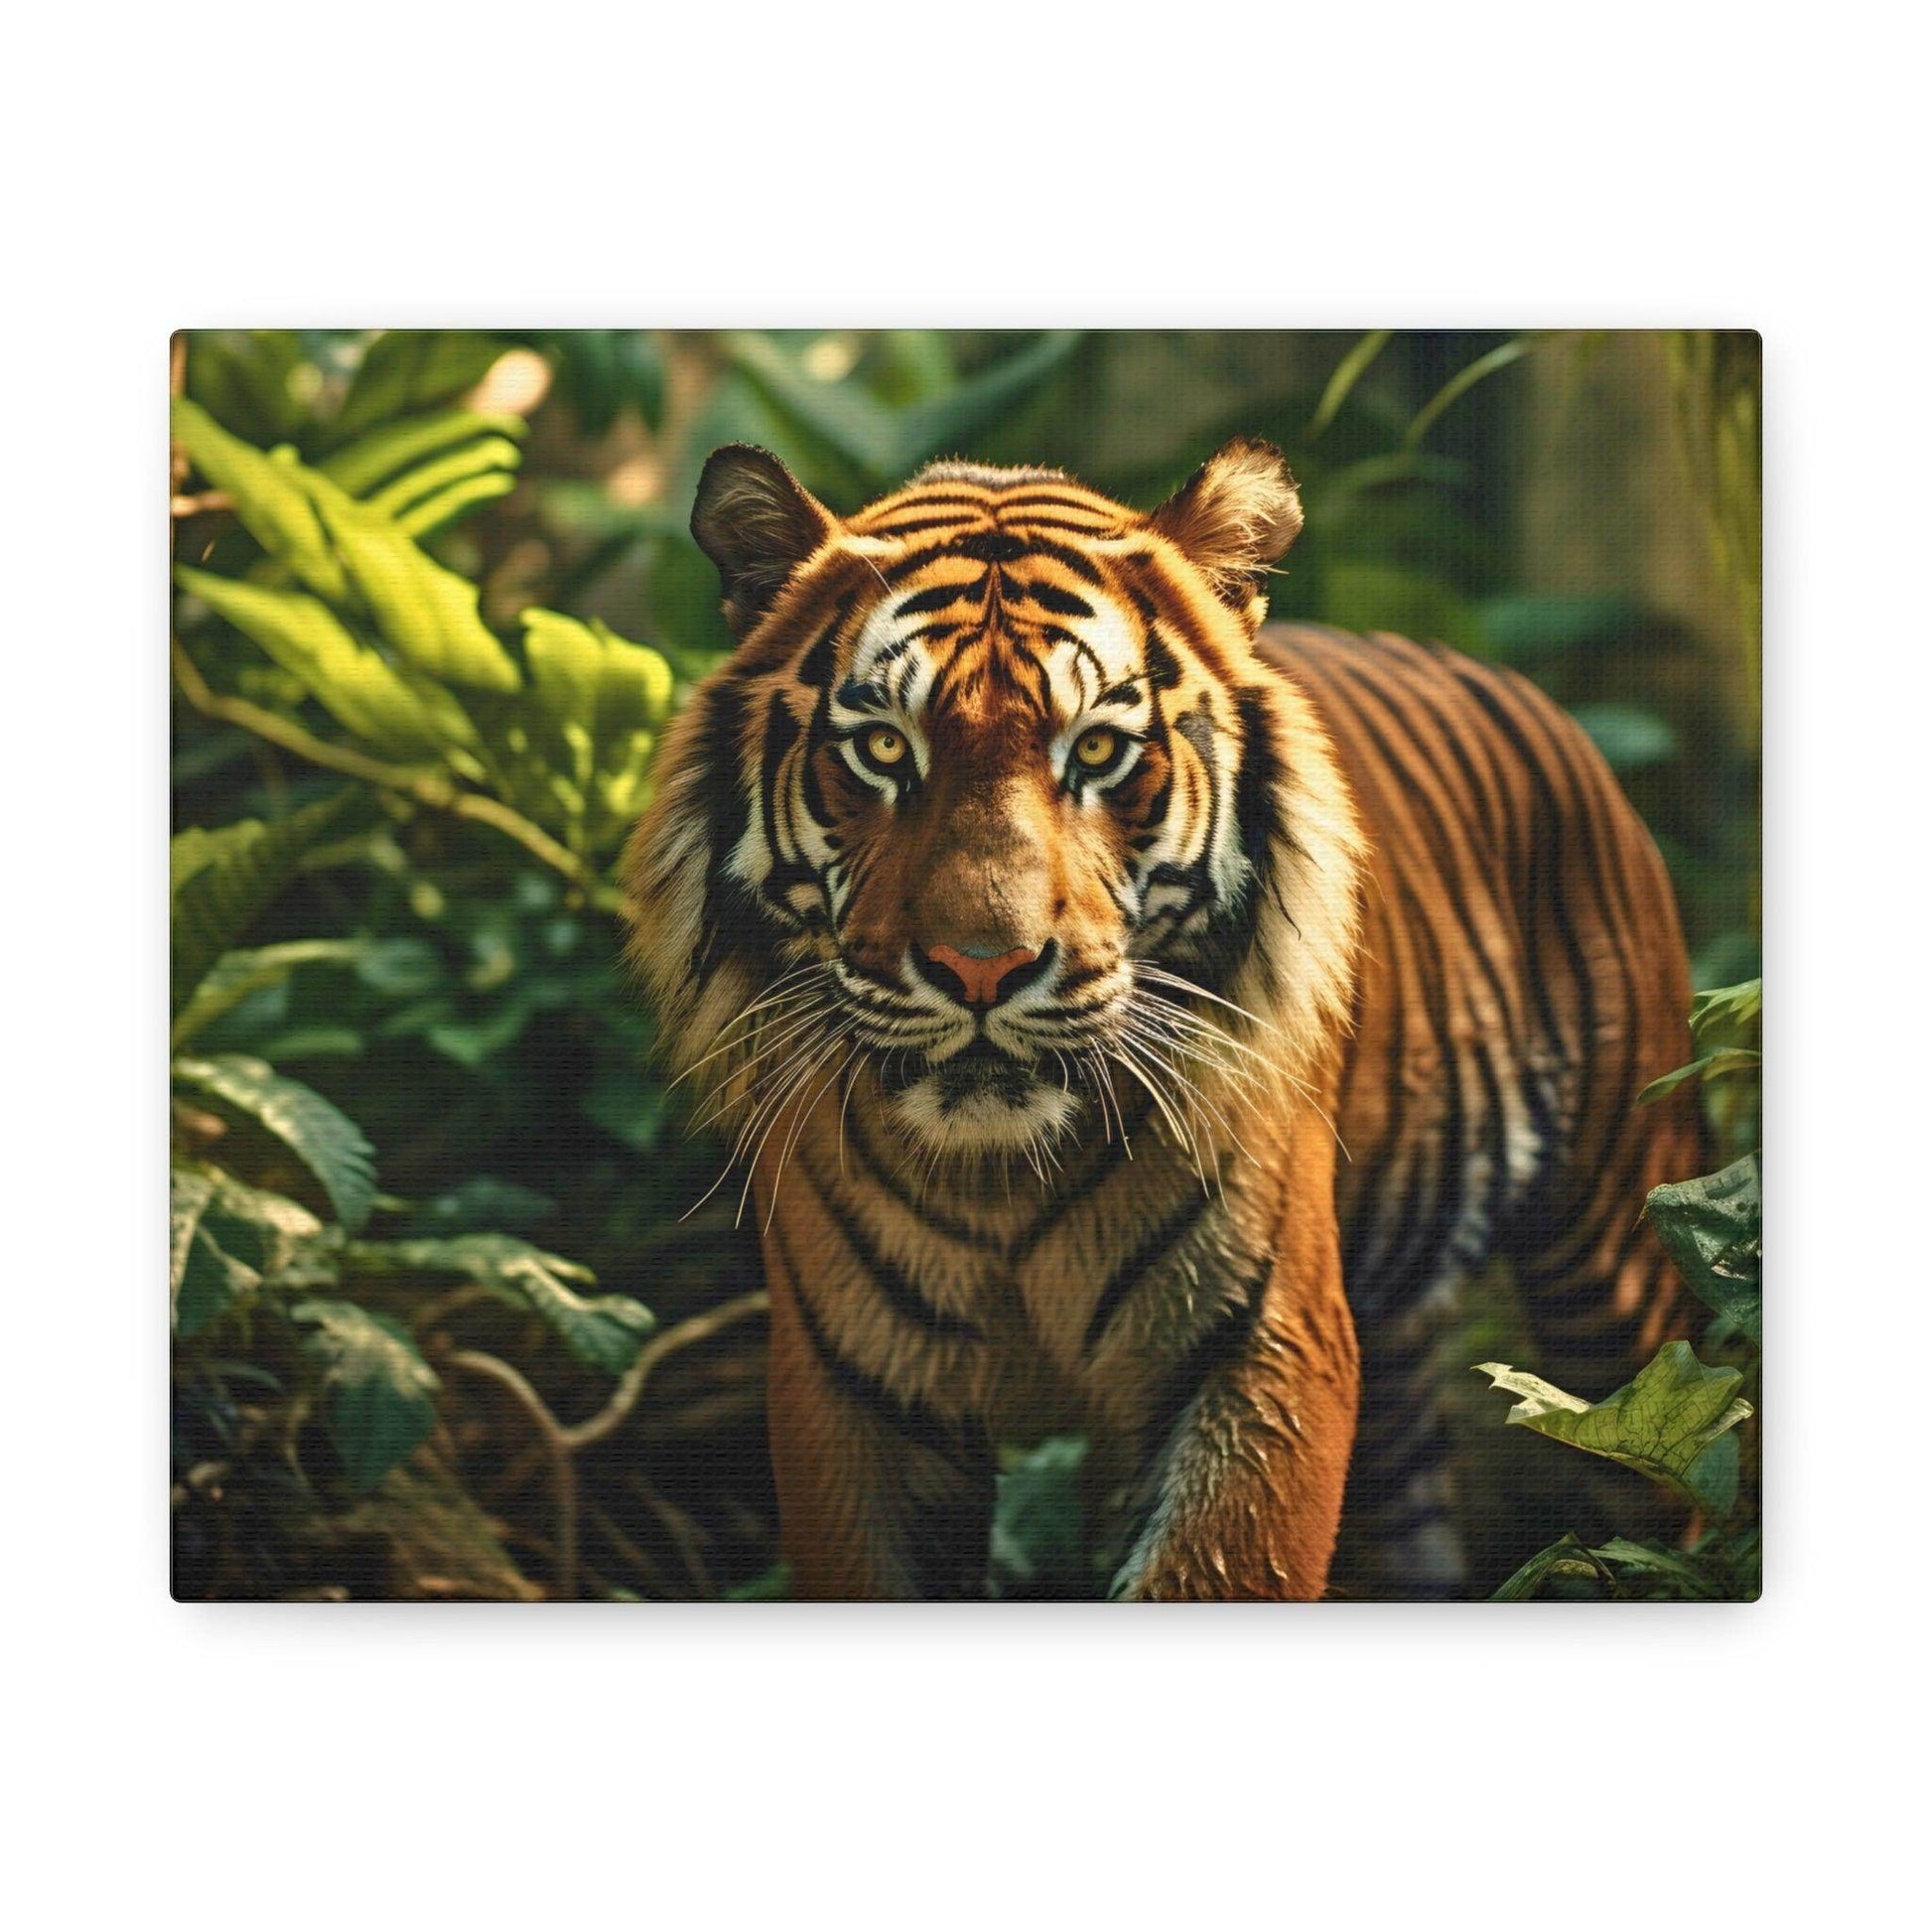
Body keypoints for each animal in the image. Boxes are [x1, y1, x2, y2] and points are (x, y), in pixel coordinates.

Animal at [622, 436, 1704, 1600]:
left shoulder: (1260, 1349)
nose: (981, 967)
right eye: (880, 749)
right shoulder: (851, 1388)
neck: (1001, 1183)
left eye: (1097, 752)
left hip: (1620, 1260)